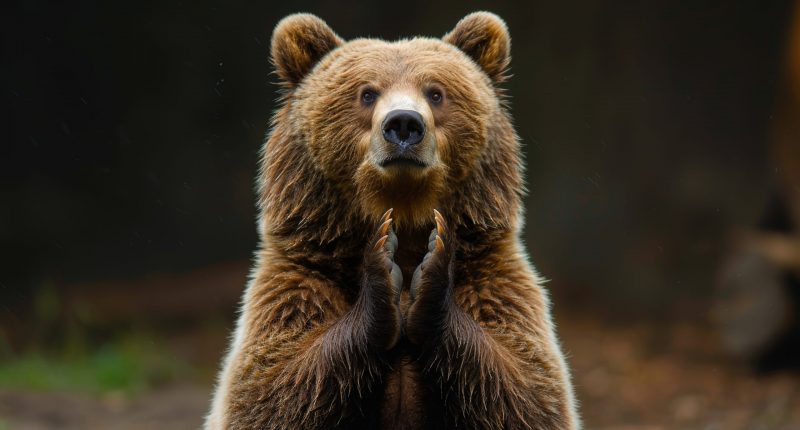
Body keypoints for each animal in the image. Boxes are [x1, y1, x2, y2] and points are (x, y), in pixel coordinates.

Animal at [205, 11, 580, 428]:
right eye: (367, 93)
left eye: (436, 93)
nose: (403, 124)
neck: (406, 212)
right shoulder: (302, 275)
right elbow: (270, 389)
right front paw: (382, 269)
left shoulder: (491, 276)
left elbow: (528, 388)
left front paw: (432, 271)